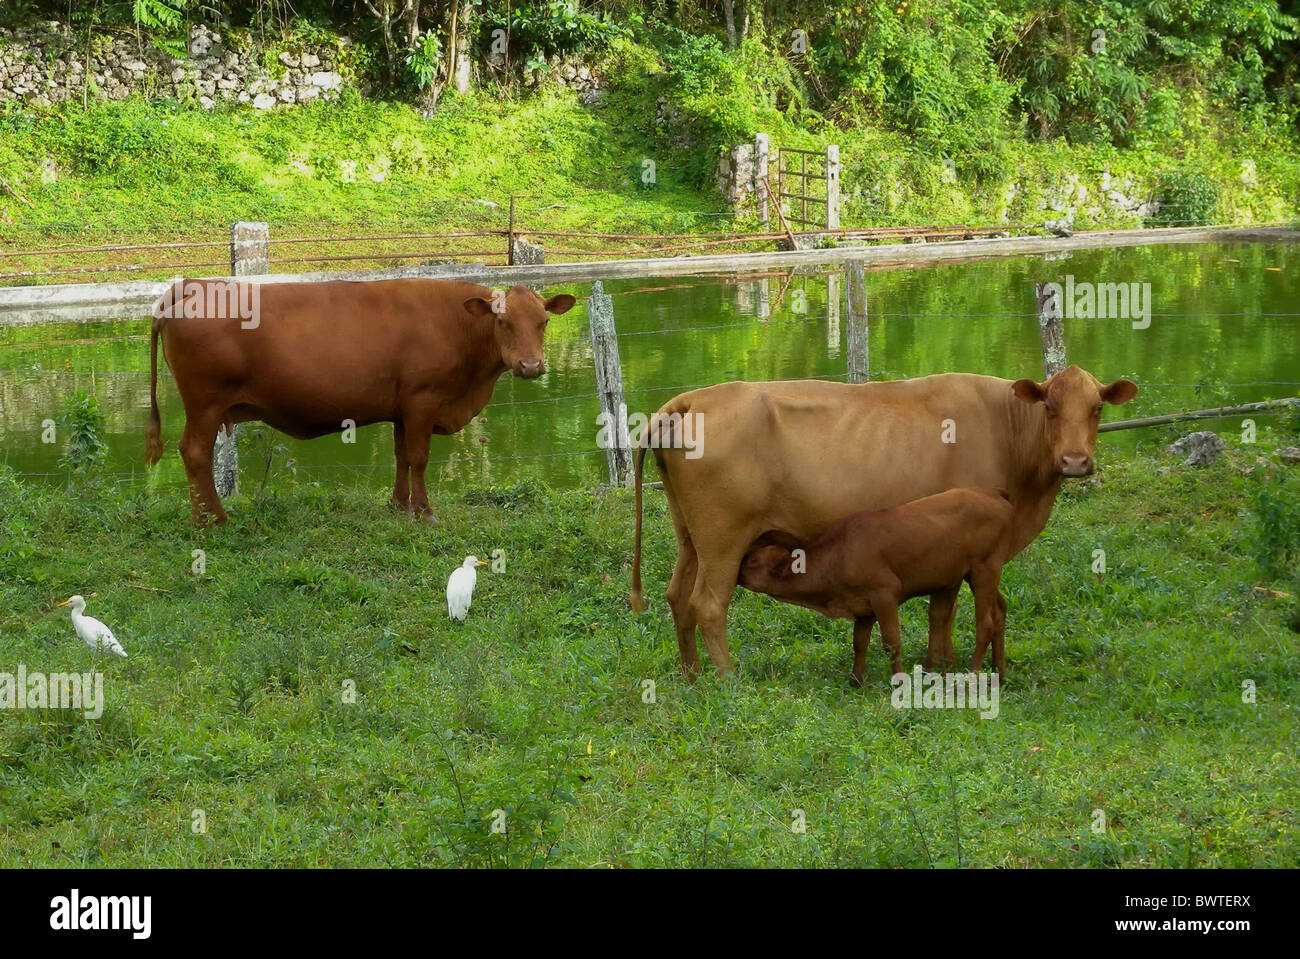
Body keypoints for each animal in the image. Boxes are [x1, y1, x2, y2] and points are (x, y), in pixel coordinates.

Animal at [146, 272, 574, 527]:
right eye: (502, 321)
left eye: (543, 322)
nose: (531, 365)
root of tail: (194, 283)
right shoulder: (423, 399)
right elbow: (419, 457)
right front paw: (425, 512)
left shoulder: (403, 408)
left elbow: (402, 457)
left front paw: (399, 506)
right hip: (204, 404)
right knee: (195, 453)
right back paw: (211, 519)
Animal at [743, 488, 1013, 686]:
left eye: (752, 560)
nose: (737, 569)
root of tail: (995, 497)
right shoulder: (863, 607)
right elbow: (859, 642)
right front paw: (855, 680)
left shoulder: (885, 593)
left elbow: (891, 641)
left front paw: (899, 680)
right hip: (964, 576)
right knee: (997, 609)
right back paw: (998, 671)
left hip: (985, 569)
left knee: (985, 623)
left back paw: (973, 675)